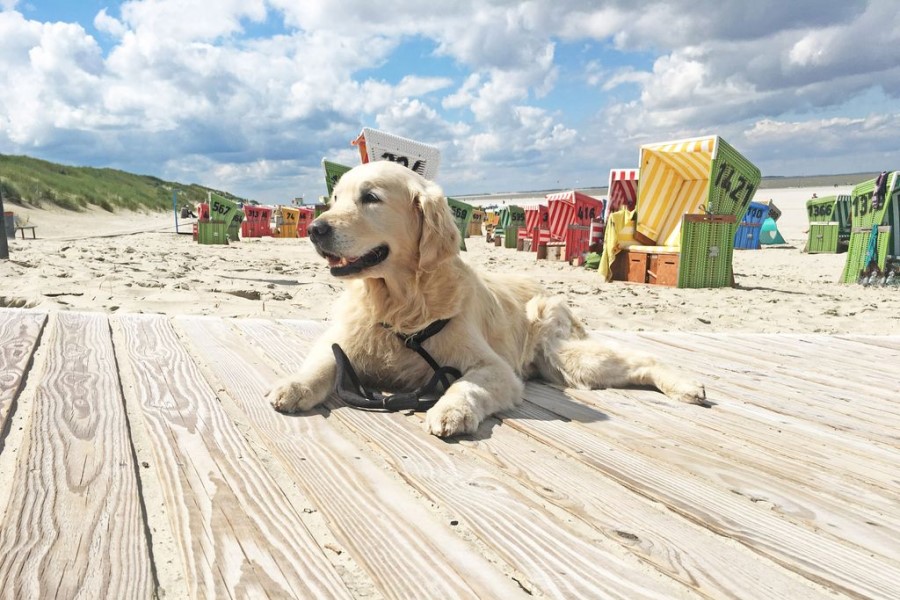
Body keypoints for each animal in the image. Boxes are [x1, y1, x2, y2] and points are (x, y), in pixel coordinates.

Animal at [268, 162, 704, 438]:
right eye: (335, 199)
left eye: (370, 197)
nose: (315, 229)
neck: (400, 300)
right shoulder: (340, 343)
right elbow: (320, 365)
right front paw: (292, 387)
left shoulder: (496, 369)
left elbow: (465, 385)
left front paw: (451, 410)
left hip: (567, 357)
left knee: (644, 358)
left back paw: (687, 386)